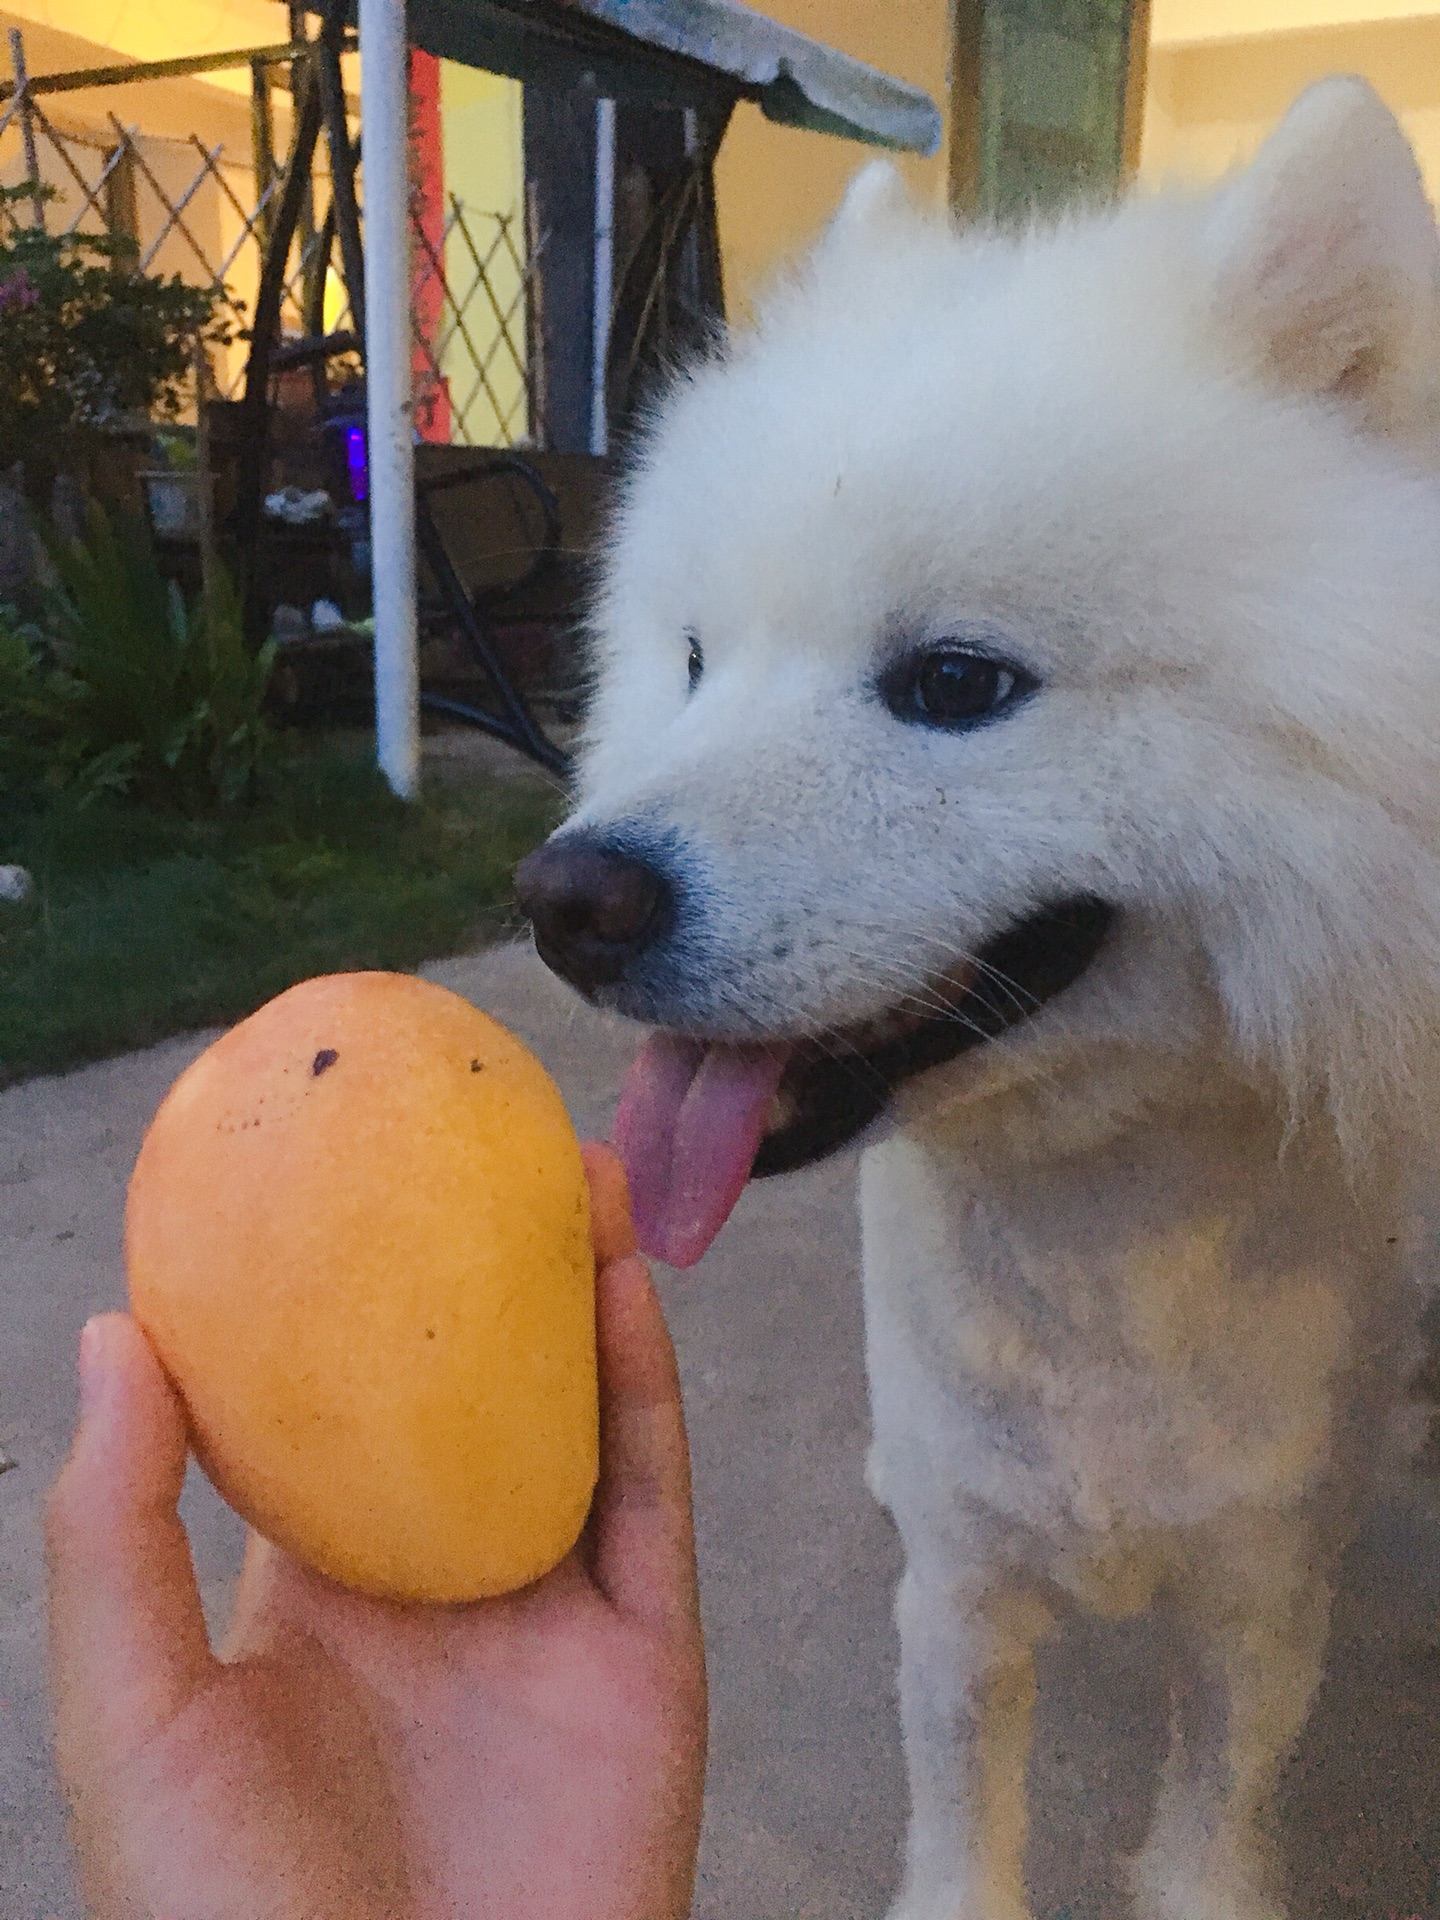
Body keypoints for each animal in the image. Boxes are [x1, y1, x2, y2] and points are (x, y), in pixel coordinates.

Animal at [518, 82, 1440, 1920]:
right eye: (696, 664)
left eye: (955, 686)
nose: (567, 900)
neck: (1096, 1248)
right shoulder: (960, 1599)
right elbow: (962, 1822)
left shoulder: (1259, 1603)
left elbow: (1214, 1817)